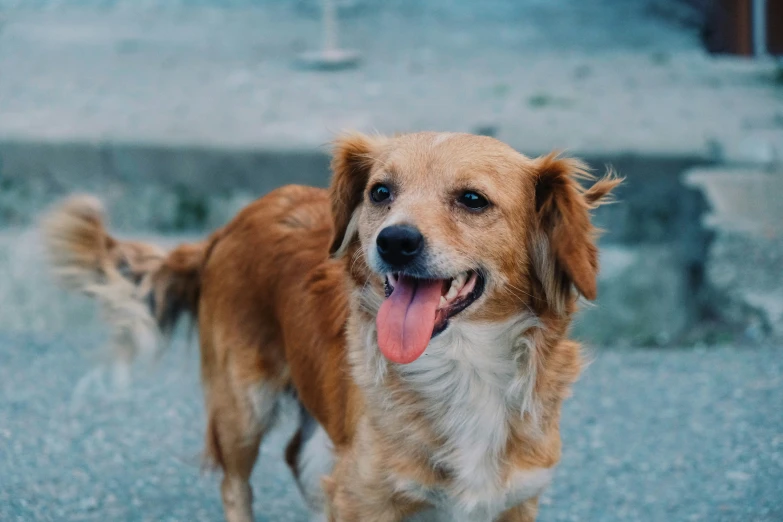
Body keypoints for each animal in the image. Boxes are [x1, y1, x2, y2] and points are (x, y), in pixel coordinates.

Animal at [41, 131, 620, 520]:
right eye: (381, 192)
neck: (463, 370)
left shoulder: (514, 500)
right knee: (236, 485)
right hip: (242, 405)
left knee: (297, 455)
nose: (394, 241)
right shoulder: (368, 496)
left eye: (473, 199)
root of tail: (231, 224)